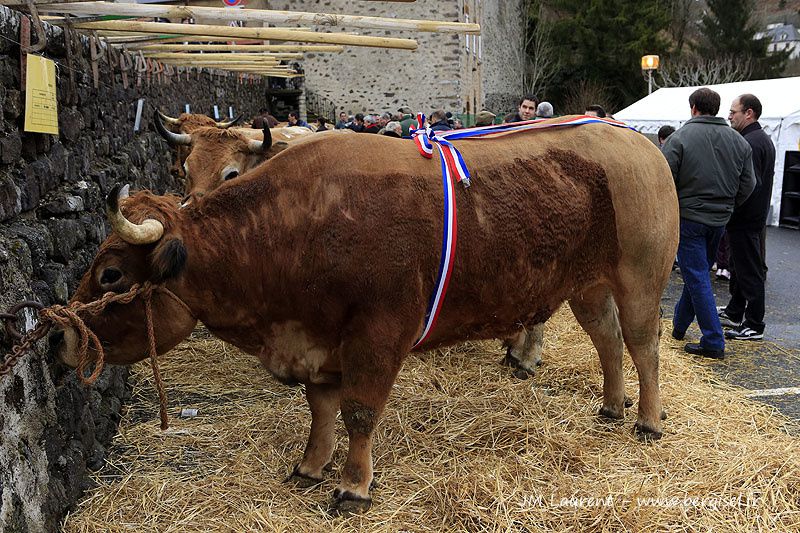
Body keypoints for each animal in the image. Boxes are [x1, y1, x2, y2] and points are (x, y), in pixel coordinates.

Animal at [53, 119, 680, 512]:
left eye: (110, 275)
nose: (62, 338)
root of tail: (632, 139)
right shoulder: (319, 339)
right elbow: (320, 408)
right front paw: (310, 466)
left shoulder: (378, 333)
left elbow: (358, 412)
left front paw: (353, 487)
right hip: (588, 287)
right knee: (608, 342)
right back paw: (612, 406)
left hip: (640, 278)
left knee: (644, 346)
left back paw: (647, 420)